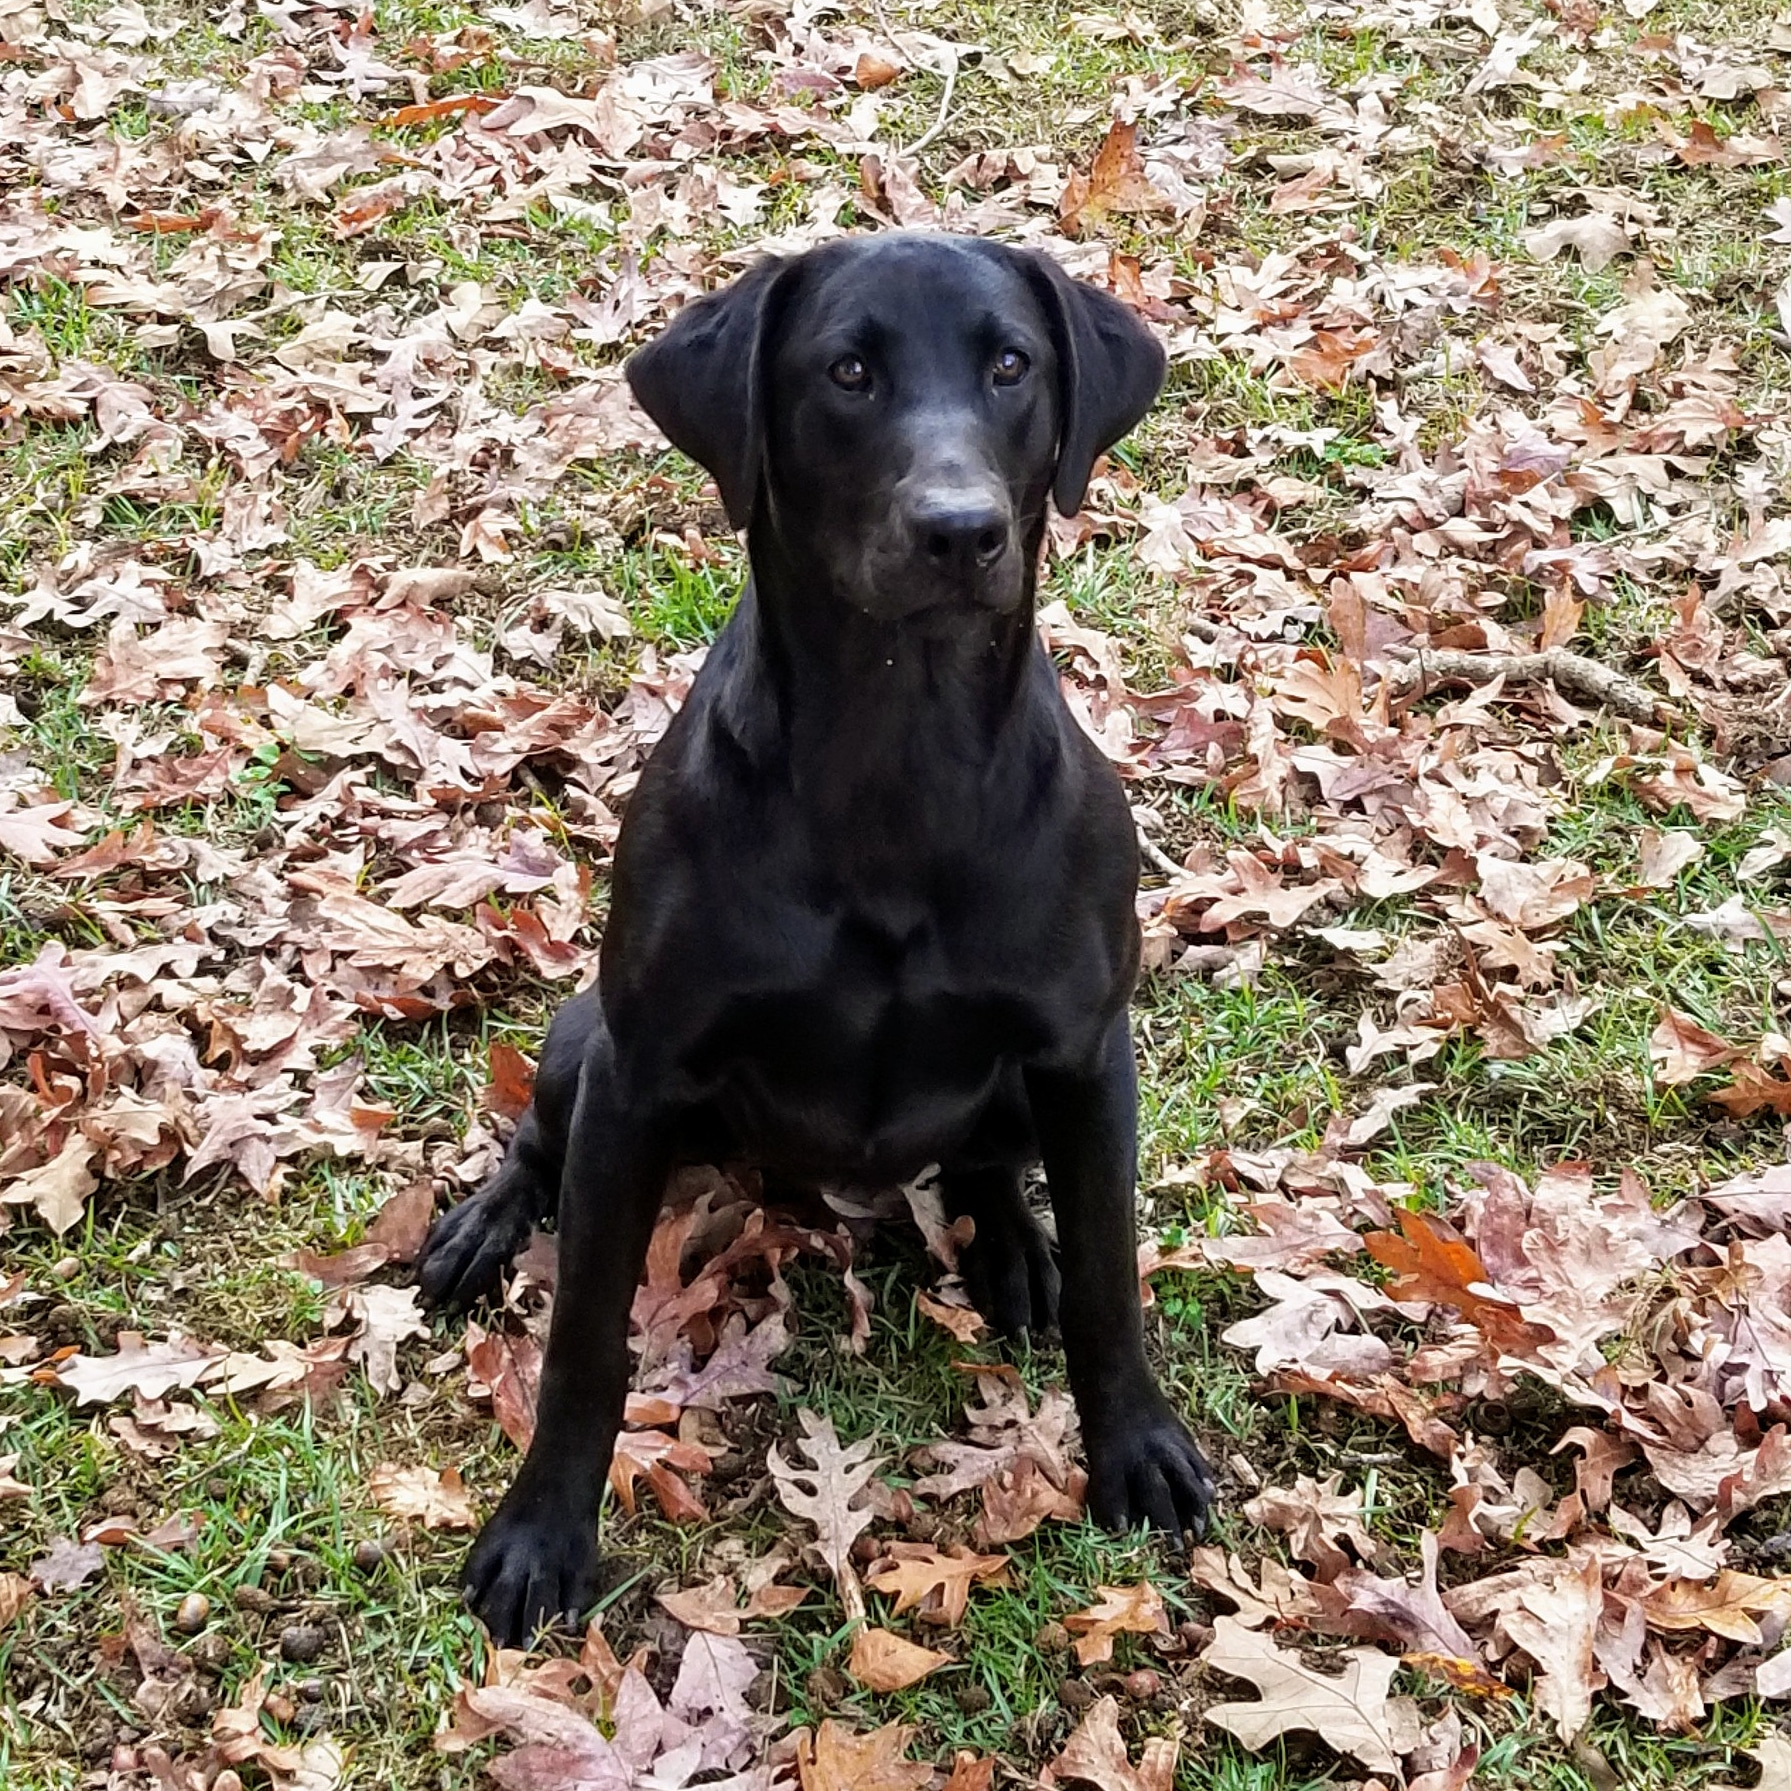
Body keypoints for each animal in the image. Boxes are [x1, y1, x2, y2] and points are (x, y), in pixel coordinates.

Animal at [419, 231, 1210, 1640]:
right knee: (536, 1137)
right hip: (581, 1038)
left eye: (1011, 365)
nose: (962, 530)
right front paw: (542, 1532)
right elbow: (583, 1342)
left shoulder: (1086, 1054)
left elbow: (1114, 1281)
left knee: (988, 1165)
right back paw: (483, 1224)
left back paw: (1015, 1250)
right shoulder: (638, 1071)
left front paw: (1136, 1447)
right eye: (847, 372)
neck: (896, 758)